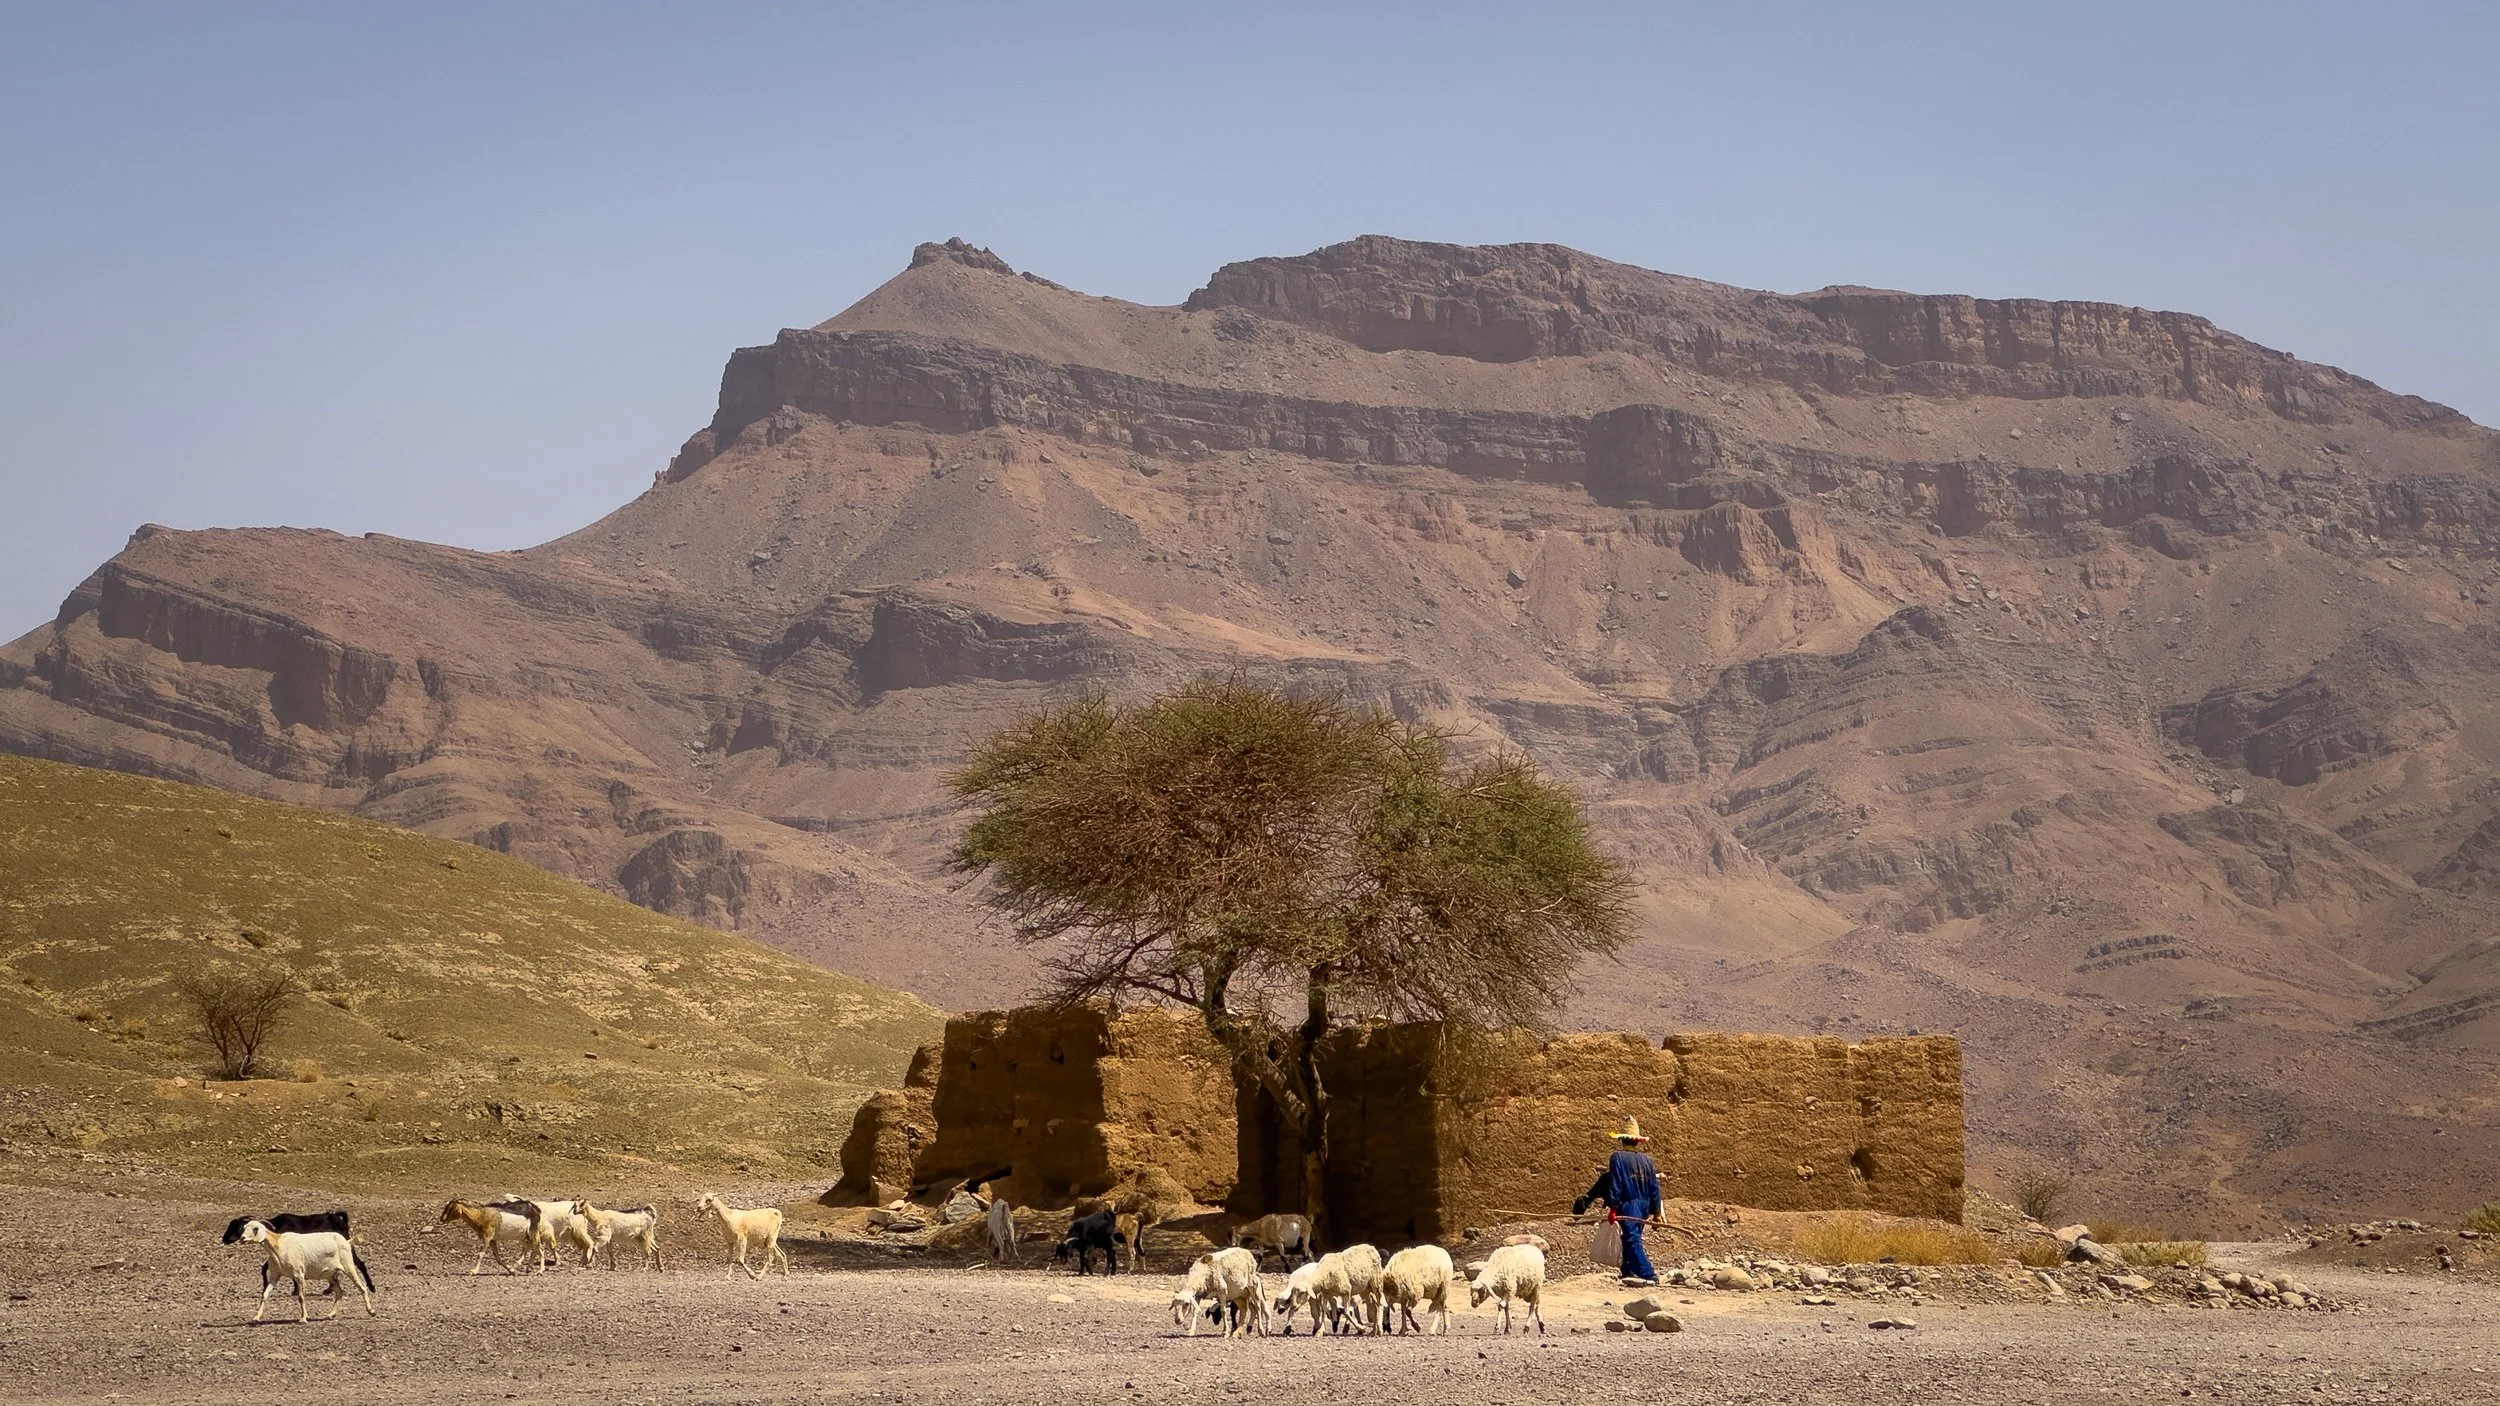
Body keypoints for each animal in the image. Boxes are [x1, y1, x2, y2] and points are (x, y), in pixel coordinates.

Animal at [237, 1220, 374, 1323]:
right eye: (244, 1228)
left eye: (255, 1228)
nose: (242, 1238)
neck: (280, 1246)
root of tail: (346, 1241)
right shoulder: (275, 1275)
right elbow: (265, 1295)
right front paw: (256, 1317)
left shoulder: (299, 1275)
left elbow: (301, 1297)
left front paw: (303, 1318)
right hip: (330, 1275)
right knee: (339, 1292)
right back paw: (331, 1315)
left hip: (348, 1266)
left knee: (362, 1287)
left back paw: (371, 1311)